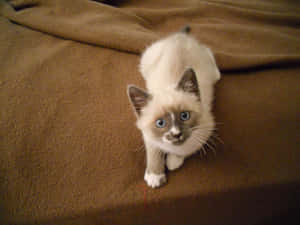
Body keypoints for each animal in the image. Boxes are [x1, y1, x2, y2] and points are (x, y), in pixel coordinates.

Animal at [126, 26, 220, 188]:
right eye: (160, 123)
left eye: (184, 116)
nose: (176, 134)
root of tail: (179, 37)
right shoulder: (147, 134)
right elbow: (153, 151)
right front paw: (155, 175)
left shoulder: (205, 131)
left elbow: (185, 149)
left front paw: (172, 161)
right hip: (145, 61)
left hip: (212, 72)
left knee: (211, 57)